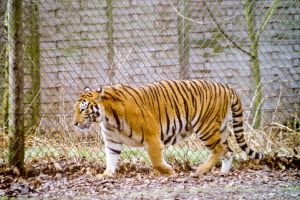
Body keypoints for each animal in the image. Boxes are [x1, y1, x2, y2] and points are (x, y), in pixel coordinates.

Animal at [72, 79, 262, 177]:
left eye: (83, 109)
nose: (74, 123)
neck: (108, 118)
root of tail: (227, 86)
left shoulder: (152, 136)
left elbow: (156, 161)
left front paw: (169, 171)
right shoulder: (112, 141)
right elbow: (111, 159)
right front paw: (106, 175)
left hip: (206, 127)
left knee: (219, 149)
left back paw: (200, 170)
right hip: (219, 128)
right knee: (228, 151)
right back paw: (222, 173)